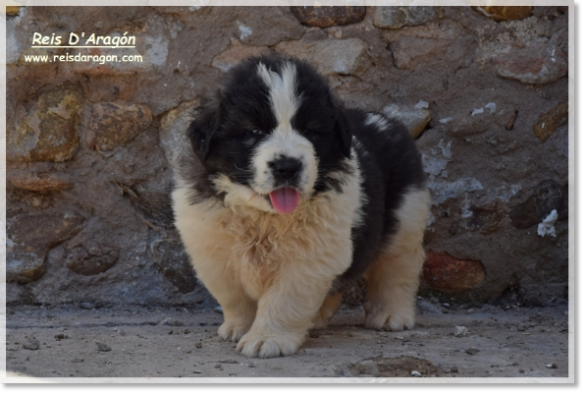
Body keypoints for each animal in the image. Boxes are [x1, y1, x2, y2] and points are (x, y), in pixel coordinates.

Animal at [171, 55, 426, 360]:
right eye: (253, 131)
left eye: (309, 131)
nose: (287, 166)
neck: (263, 218)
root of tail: (385, 120)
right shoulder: (212, 252)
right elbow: (234, 297)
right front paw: (240, 327)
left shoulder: (308, 258)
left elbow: (284, 300)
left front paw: (267, 338)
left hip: (406, 216)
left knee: (397, 268)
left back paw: (390, 314)